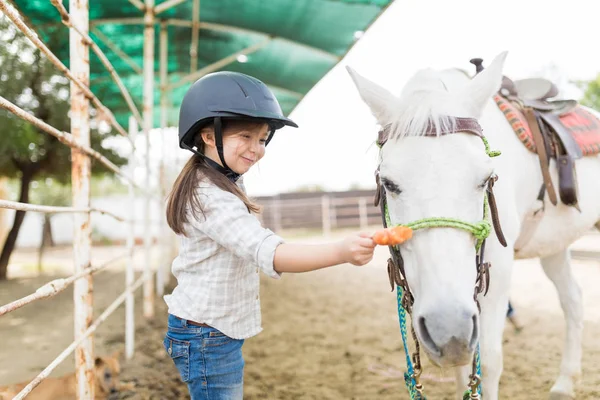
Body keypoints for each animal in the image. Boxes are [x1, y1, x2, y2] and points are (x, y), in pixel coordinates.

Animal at [344, 51, 596, 398]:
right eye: (389, 183)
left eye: (486, 178)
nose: (447, 328)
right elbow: (463, 373)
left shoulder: (497, 272)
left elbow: (487, 363)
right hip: (554, 247)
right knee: (573, 300)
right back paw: (564, 382)